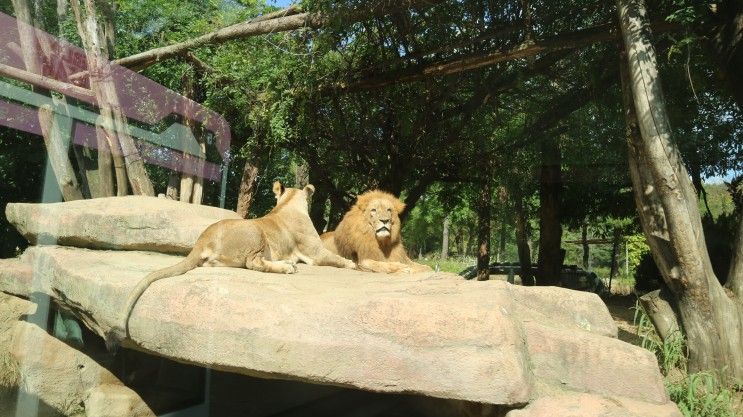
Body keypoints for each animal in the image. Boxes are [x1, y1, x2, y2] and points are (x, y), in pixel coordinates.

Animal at [107, 180, 358, 350]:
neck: (287, 204)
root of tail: (202, 240)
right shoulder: (315, 251)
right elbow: (336, 258)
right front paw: (352, 264)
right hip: (254, 230)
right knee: (254, 263)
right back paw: (286, 266)